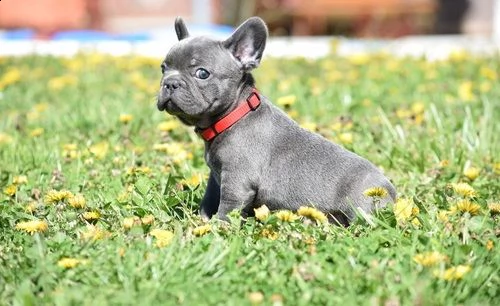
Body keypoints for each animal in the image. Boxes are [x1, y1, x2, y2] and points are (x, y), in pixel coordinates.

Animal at [158, 17, 396, 227]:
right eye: (163, 68)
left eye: (202, 73)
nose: (170, 83)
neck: (233, 115)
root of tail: (392, 192)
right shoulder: (216, 178)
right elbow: (210, 199)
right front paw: (203, 219)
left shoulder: (236, 180)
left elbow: (228, 207)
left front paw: (219, 227)